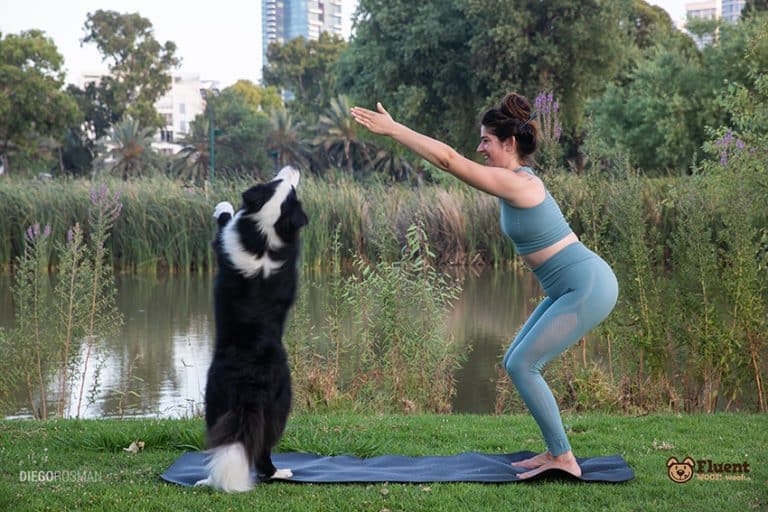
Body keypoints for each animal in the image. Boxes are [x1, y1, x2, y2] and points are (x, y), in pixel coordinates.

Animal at [194, 165, 308, 492]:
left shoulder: (224, 242)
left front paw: (223, 207)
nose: (293, 167)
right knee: (251, 444)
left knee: (239, 443)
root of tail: (249, 381)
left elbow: (223, 224)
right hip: (256, 403)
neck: (263, 234)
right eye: (279, 183)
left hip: (227, 401)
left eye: (287, 187)